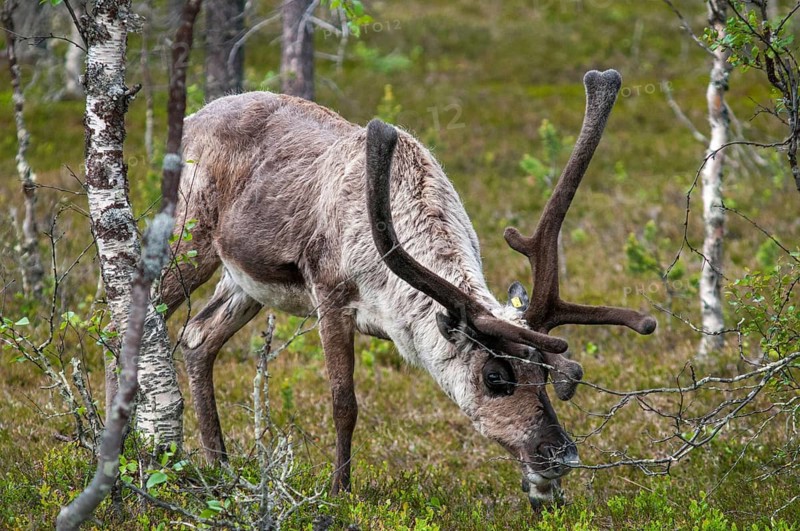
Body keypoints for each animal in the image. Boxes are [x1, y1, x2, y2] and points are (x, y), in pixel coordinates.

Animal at [159, 69, 656, 509]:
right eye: (495, 377)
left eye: (546, 375)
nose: (561, 454)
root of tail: (195, 117)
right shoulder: (330, 295)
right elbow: (344, 403)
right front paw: (340, 493)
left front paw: (543, 494)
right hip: (191, 236)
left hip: (244, 282)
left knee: (198, 336)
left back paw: (219, 465)